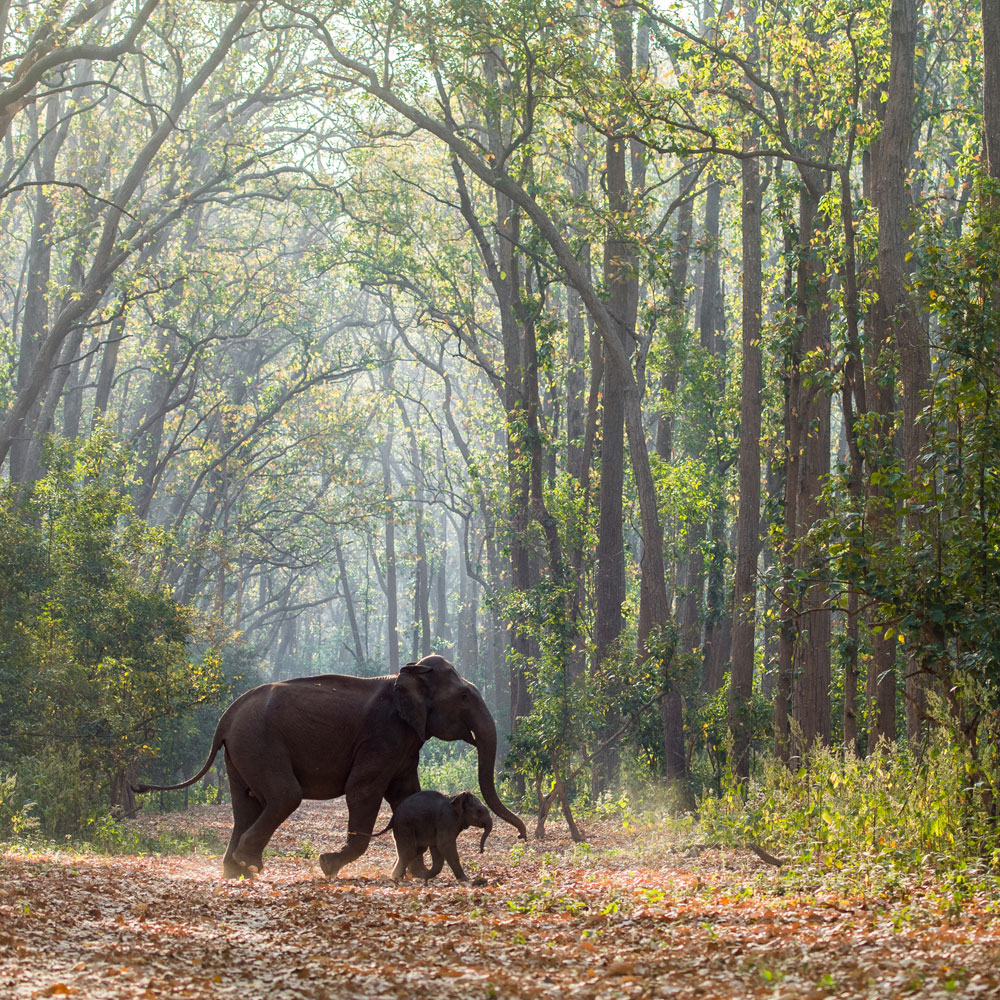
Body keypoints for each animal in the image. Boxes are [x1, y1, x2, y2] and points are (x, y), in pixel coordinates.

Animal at [133, 656, 528, 876]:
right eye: (464, 695)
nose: (523, 836)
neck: (406, 673)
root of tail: (226, 717)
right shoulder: (382, 736)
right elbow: (362, 791)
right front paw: (328, 865)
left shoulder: (404, 743)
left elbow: (406, 795)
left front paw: (414, 872)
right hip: (259, 743)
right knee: (283, 797)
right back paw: (249, 864)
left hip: (240, 754)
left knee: (246, 805)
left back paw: (236, 872)